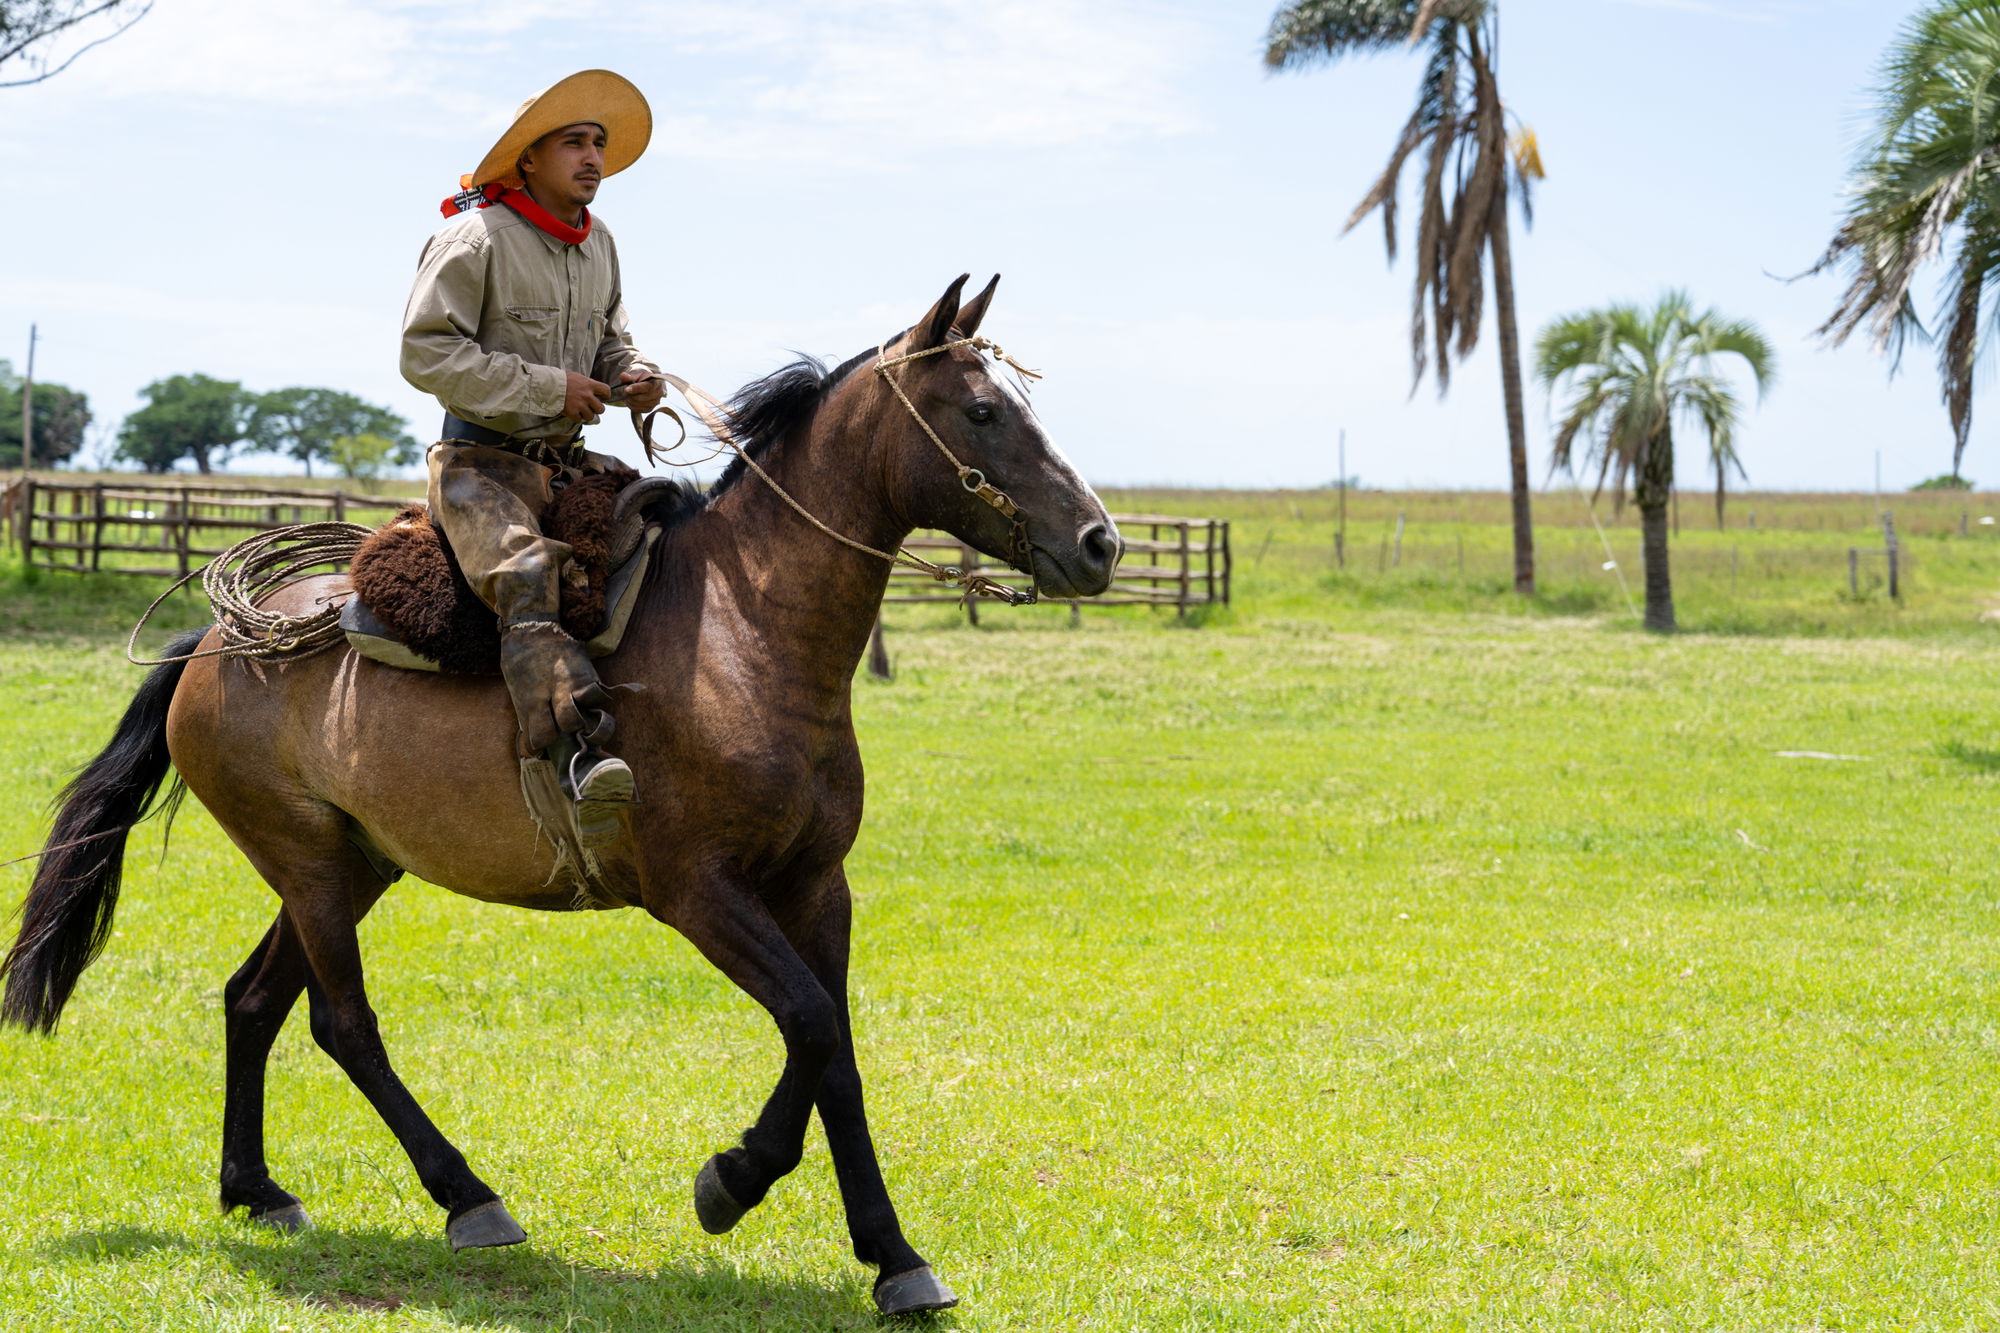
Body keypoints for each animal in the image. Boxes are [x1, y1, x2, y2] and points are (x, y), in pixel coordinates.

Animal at [0, 275, 1120, 1316]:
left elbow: (833, 1050)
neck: (744, 631)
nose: (1100, 542)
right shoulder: (698, 893)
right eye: (982, 412)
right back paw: (468, 1196)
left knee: (253, 998)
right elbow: (805, 1021)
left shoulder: (815, 887)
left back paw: (256, 1189)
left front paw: (893, 1258)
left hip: (352, 864)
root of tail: (219, 640)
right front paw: (732, 1181)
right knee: (341, 1021)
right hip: (310, 864)